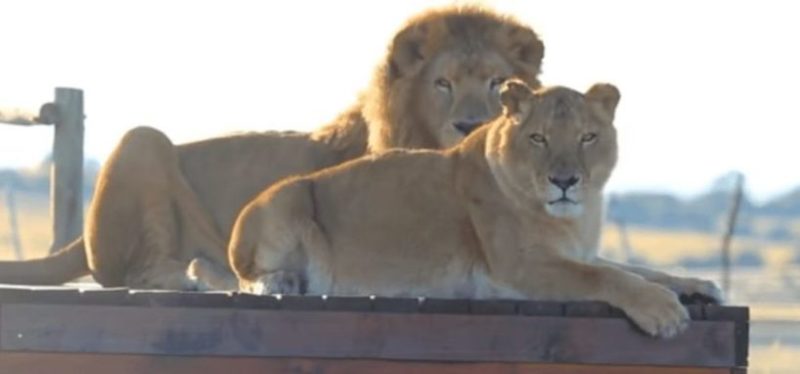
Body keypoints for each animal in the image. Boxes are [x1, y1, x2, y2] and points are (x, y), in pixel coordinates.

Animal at [0, 7, 548, 290]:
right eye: (442, 83)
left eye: (497, 83)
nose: (471, 123)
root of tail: (81, 238)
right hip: (142, 140)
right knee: (137, 271)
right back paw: (206, 272)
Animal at [228, 82, 720, 338]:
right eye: (538, 138)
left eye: (587, 137)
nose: (565, 181)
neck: (574, 217)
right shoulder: (517, 267)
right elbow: (605, 277)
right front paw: (663, 310)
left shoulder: (575, 252)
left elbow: (635, 269)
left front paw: (698, 287)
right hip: (289, 195)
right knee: (248, 277)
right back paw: (283, 280)